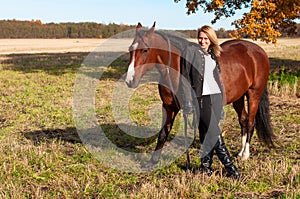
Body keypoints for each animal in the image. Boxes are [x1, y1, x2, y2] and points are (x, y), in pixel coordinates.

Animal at [125, 22, 276, 168]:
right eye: (130, 50)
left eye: (145, 50)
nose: (130, 80)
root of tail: (259, 51)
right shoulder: (169, 107)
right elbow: (163, 133)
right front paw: (152, 161)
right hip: (238, 97)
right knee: (243, 120)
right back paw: (240, 152)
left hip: (254, 94)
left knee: (250, 122)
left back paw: (245, 154)